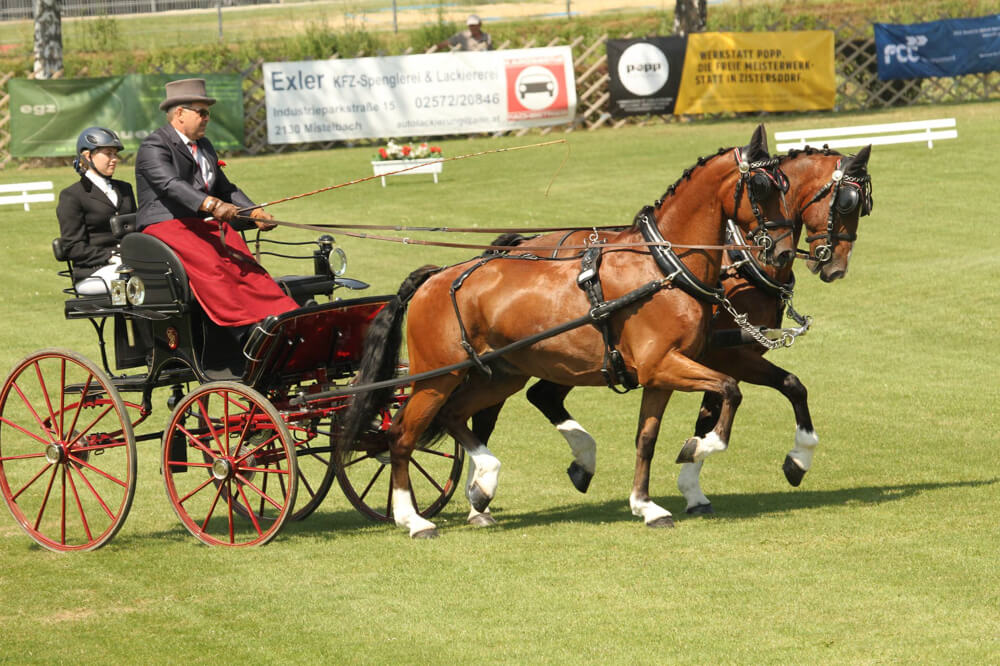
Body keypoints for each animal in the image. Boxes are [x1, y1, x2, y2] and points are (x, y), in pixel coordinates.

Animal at [344, 127, 796, 536]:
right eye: (760, 186)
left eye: (785, 184)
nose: (783, 252)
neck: (663, 267)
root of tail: (435, 277)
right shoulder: (664, 365)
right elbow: (730, 389)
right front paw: (699, 446)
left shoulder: (659, 374)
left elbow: (646, 438)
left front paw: (646, 506)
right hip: (437, 377)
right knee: (401, 437)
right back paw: (414, 519)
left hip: (500, 375)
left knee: (455, 415)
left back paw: (484, 483)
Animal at [470, 141, 876, 520]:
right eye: (847, 203)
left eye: (863, 206)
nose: (836, 267)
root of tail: (517, 246)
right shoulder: (721, 355)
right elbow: (719, 410)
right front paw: (694, 474)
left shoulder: (722, 357)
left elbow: (788, 387)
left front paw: (793, 460)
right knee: (488, 413)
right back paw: (480, 498)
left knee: (541, 397)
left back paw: (578, 464)